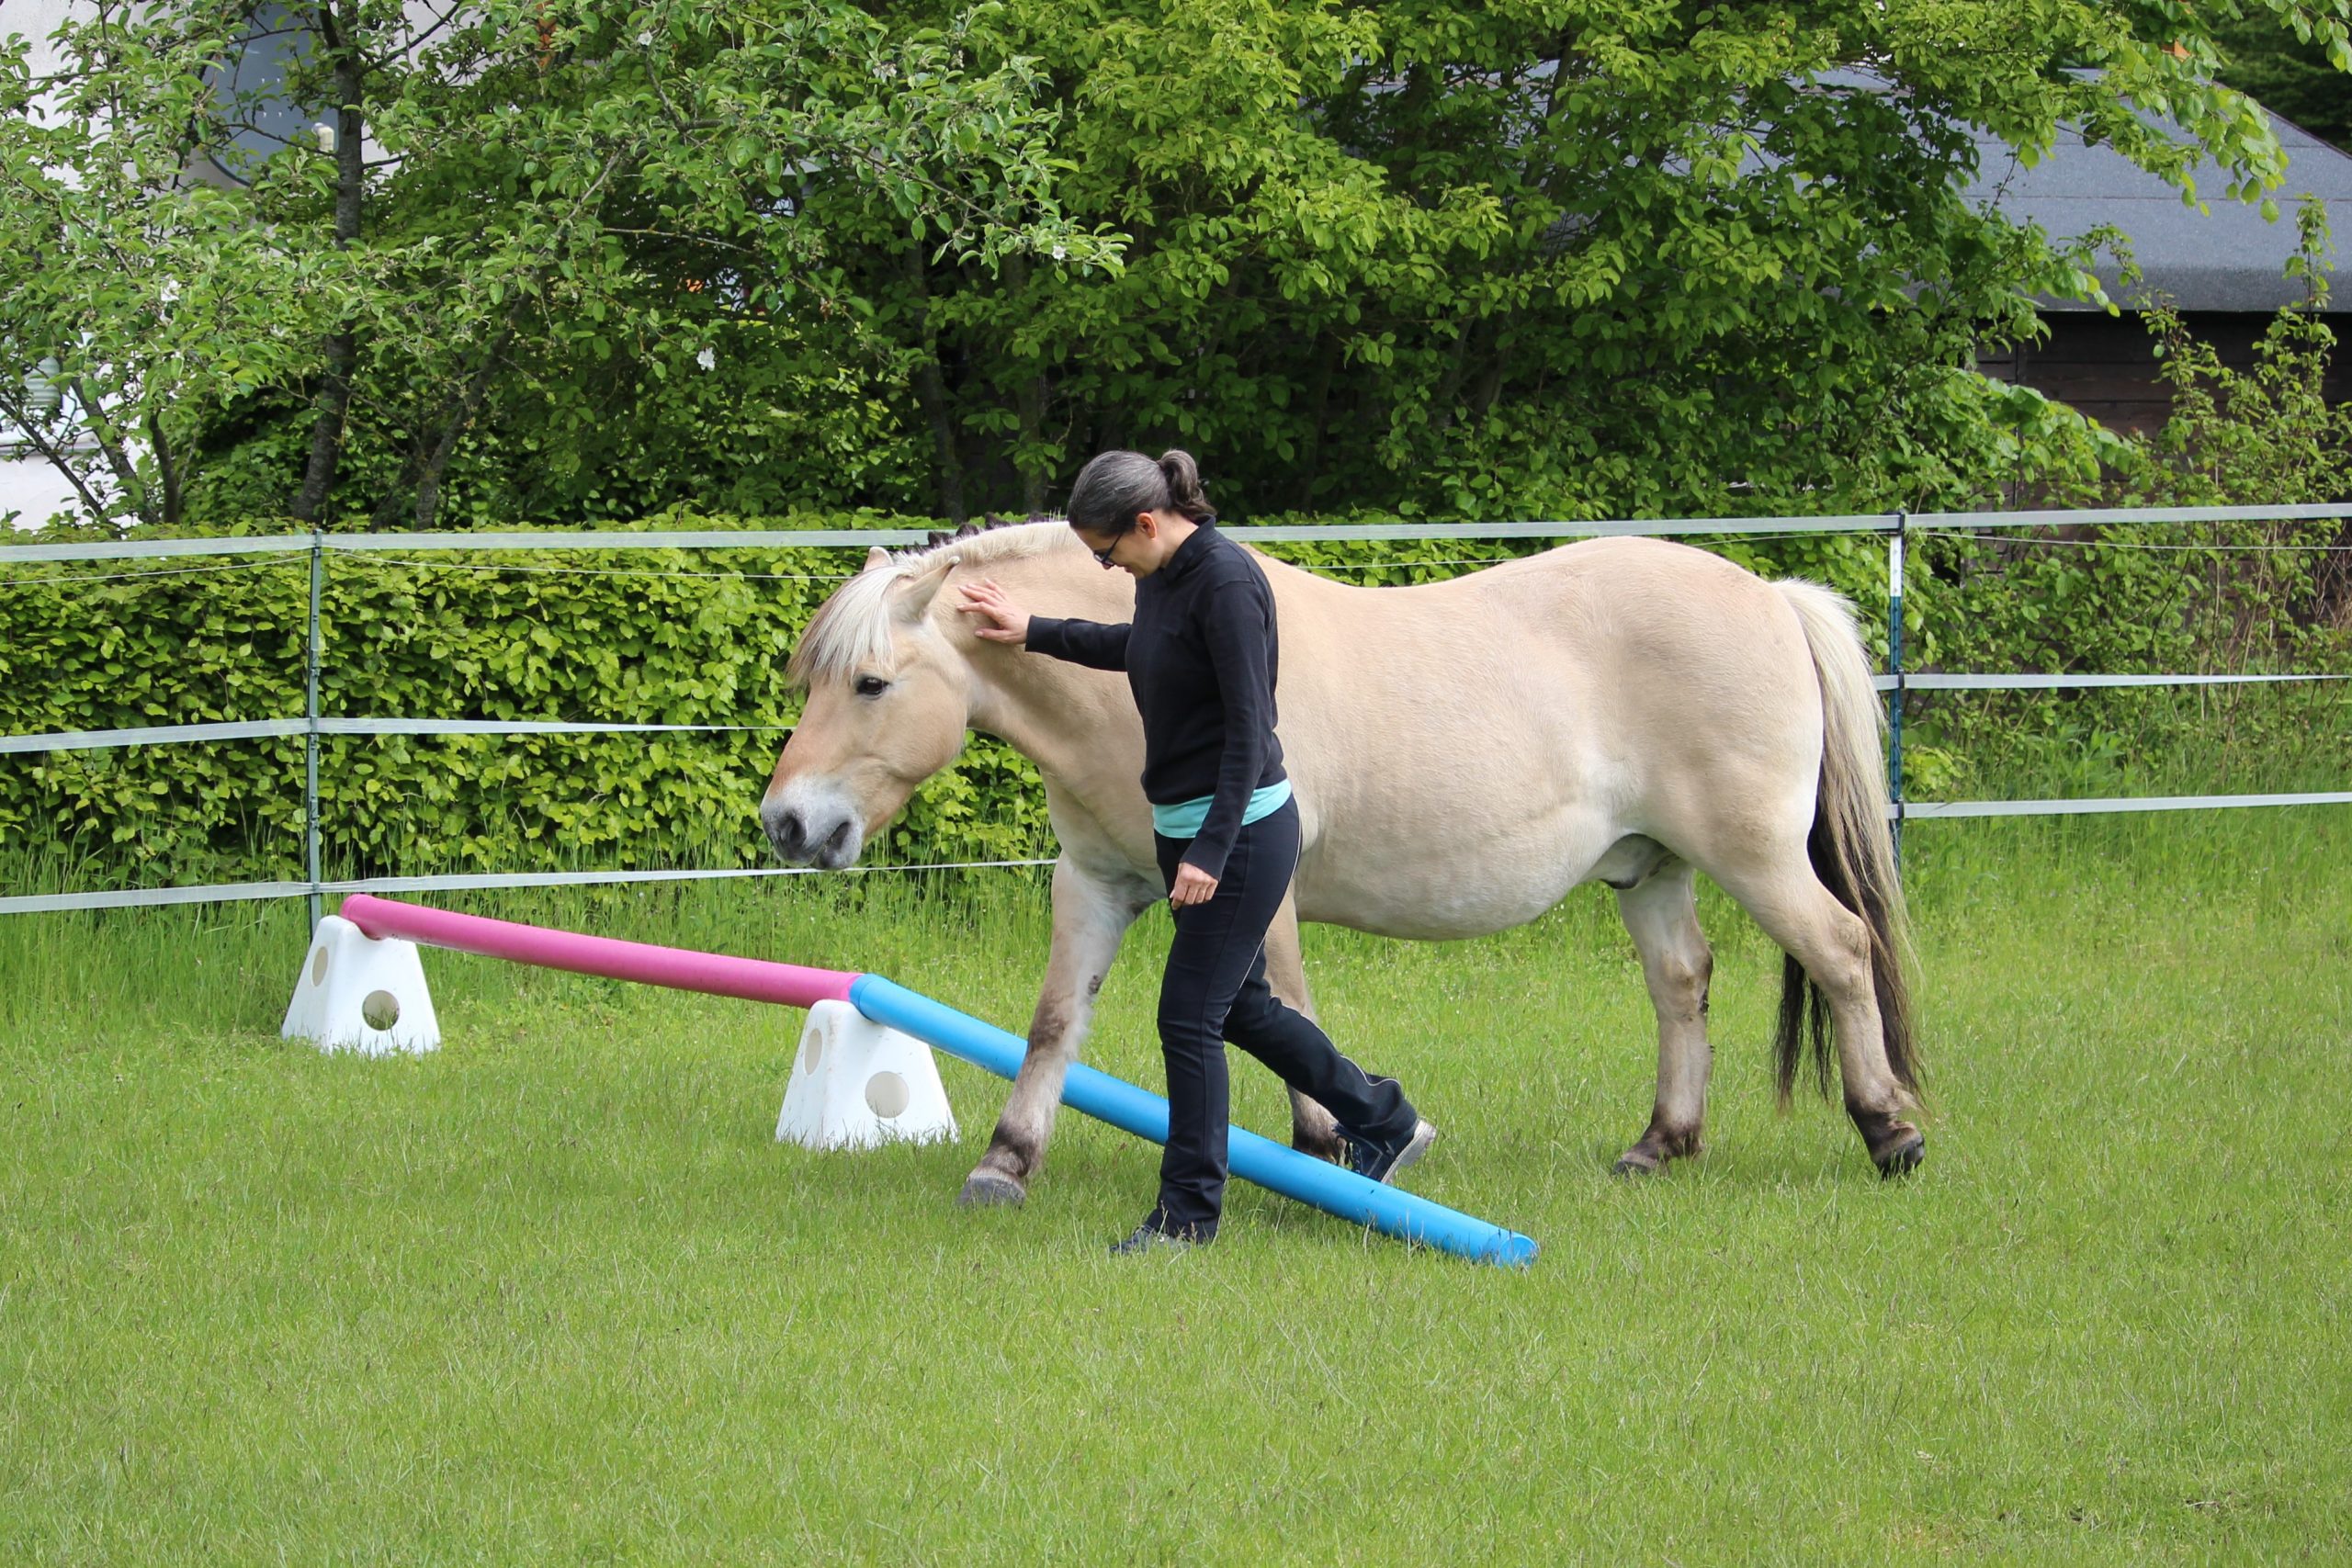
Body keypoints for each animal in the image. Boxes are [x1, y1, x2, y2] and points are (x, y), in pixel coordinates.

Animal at [762, 517, 1918, 1203]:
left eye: (868, 682)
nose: (788, 824)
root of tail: (1770, 594)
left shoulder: (1248, 893)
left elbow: (1287, 1016)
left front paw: (1330, 1151)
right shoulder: (1094, 885)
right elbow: (1054, 1023)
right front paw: (1006, 1161)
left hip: (1753, 856)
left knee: (1840, 951)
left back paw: (1889, 1133)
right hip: (1652, 868)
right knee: (1681, 985)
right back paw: (1660, 1143)